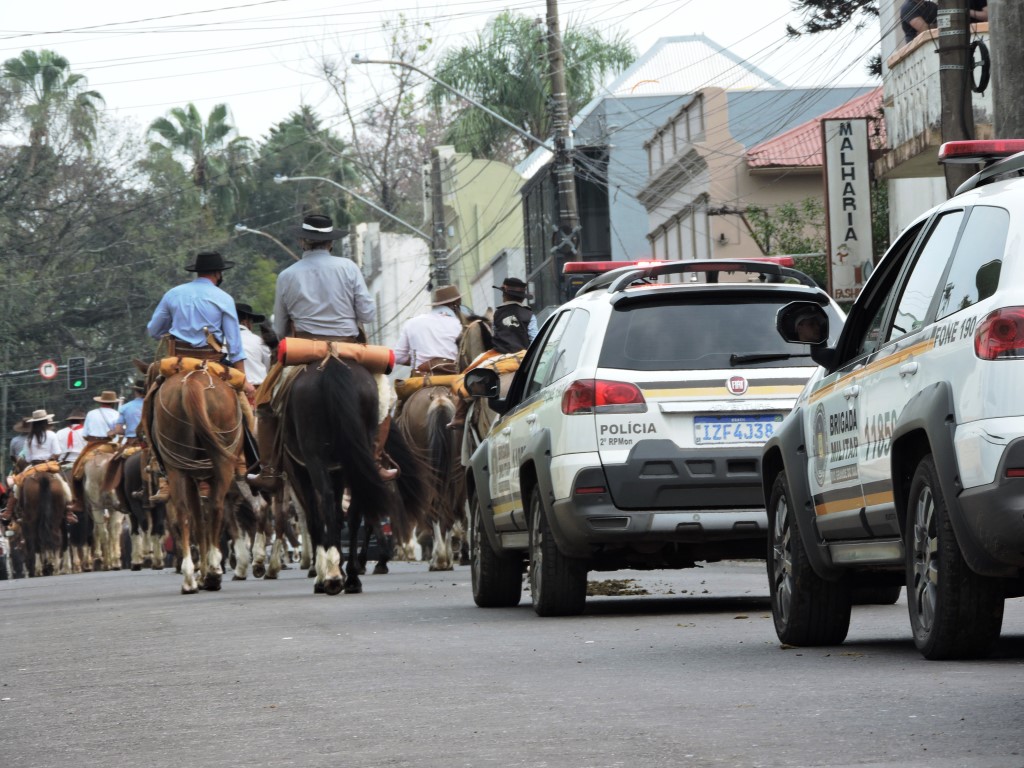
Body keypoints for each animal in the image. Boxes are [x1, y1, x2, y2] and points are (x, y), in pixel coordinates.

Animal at [148, 366, 241, 593]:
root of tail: (193, 381)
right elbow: (202, 521)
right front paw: (206, 572)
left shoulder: (191, 477)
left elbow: (198, 519)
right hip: (219, 464)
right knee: (214, 508)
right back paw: (210, 573)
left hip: (178, 467)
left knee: (185, 512)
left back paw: (191, 577)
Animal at [280, 358, 428, 598]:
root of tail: (332, 363)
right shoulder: (340, 468)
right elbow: (343, 516)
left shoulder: (300, 471)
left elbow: (316, 518)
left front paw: (321, 573)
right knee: (358, 509)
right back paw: (351, 576)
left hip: (314, 457)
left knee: (328, 502)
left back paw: (332, 576)